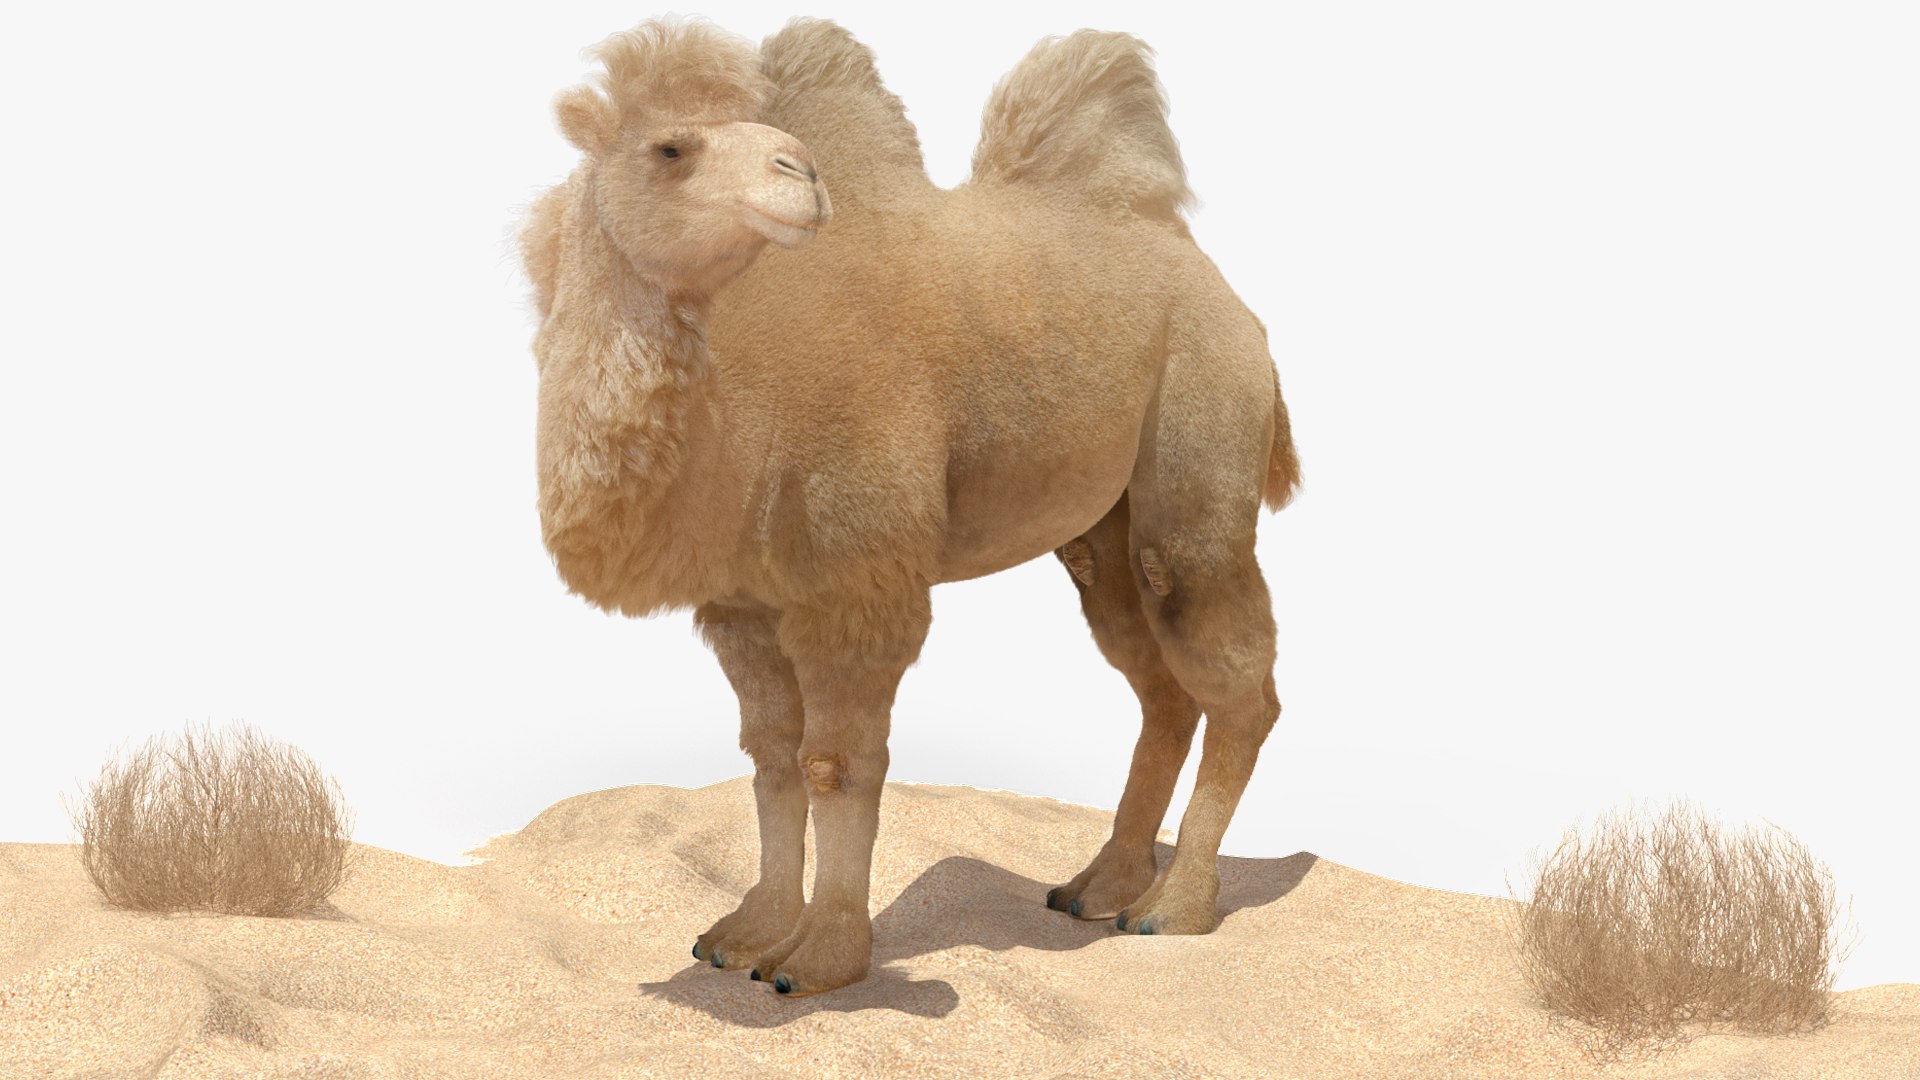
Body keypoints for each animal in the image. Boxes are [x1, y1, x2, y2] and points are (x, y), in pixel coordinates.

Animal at [523, 18, 1300, 998]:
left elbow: (838, 763)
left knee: (1235, 675)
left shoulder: (859, 580)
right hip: (1100, 529)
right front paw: (745, 934)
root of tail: (1204, 269)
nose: (801, 173)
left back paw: (1177, 907)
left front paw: (819, 960)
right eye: (669, 147)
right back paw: (1099, 886)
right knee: (1161, 685)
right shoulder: (741, 602)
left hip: (1200, 427)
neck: (733, 409)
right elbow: (770, 760)